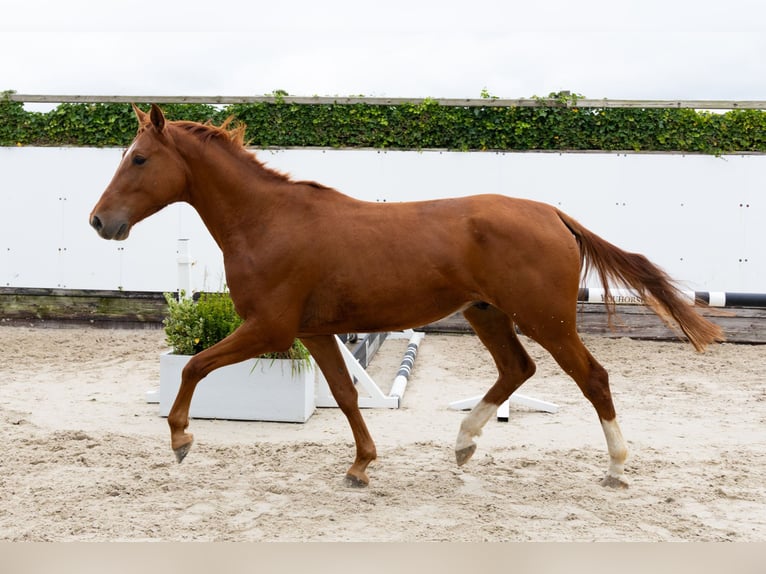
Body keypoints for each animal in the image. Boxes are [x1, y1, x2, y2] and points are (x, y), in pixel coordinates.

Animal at [89, 104, 723, 488]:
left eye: (139, 158)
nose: (100, 222)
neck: (269, 222)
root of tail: (552, 214)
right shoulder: (314, 332)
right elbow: (345, 395)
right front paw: (361, 467)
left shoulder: (270, 328)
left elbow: (193, 365)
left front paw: (181, 439)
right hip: (488, 314)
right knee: (517, 370)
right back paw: (464, 444)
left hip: (545, 318)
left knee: (592, 377)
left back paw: (615, 467)